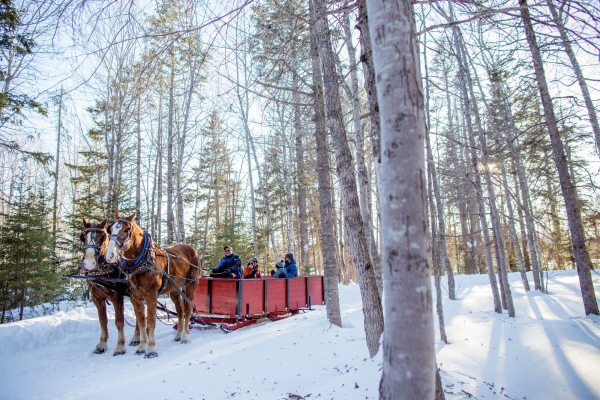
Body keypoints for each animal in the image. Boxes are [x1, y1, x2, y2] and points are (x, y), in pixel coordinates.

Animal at [79, 219, 140, 356]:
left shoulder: (116, 296)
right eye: (83, 237)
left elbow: (119, 321)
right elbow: (103, 321)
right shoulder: (97, 298)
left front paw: (120, 346)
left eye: (102, 237)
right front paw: (102, 344)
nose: (89, 263)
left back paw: (136, 337)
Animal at [104, 211, 200, 358]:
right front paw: (141, 347)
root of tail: (192, 249)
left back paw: (185, 337)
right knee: (180, 311)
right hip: (174, 289)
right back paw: (178, 335)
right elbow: (142, 322)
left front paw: (151, 349)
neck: (141, 263)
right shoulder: (135, 297)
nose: (110, 255)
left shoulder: (151, 295)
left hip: (190, 285)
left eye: (126, 230)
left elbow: (150, 322)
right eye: (110, 229)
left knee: (188, 309)